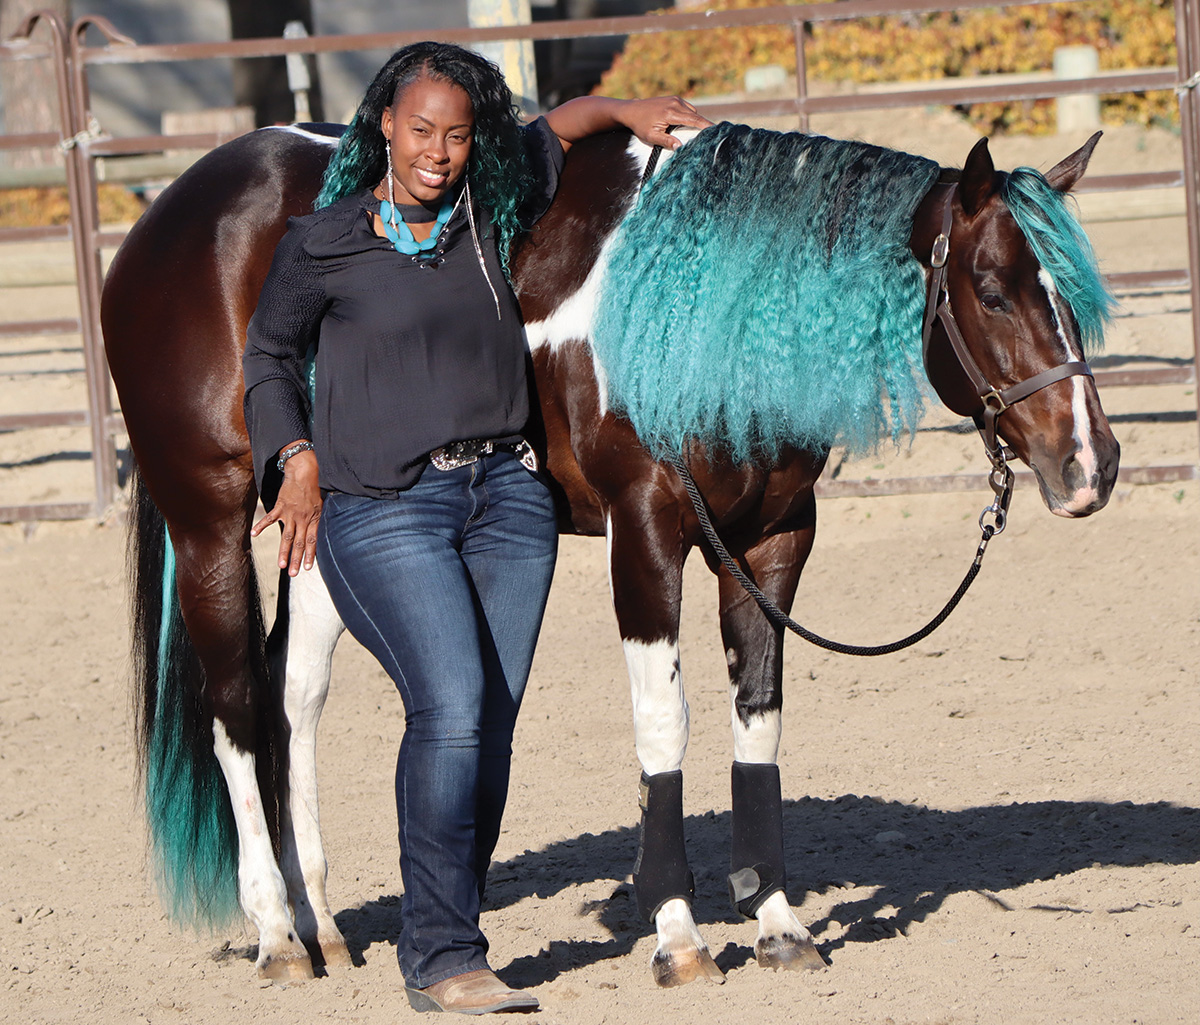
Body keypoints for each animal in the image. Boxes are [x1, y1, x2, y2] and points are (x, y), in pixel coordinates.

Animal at [98, 118, 1118, 988]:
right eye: (993, 290)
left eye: (1075, 297)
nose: (1092, 463)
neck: (706, 315)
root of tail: (166, 221)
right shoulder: (648, 529)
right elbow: (664, 725)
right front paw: (677, 934)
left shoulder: (774, 540)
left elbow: (759, 723)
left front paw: (779, 924)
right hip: (211, 522)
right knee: (237, 706)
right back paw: (276, 933)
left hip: (320, 525)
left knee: (294, 693)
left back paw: (325, 926)